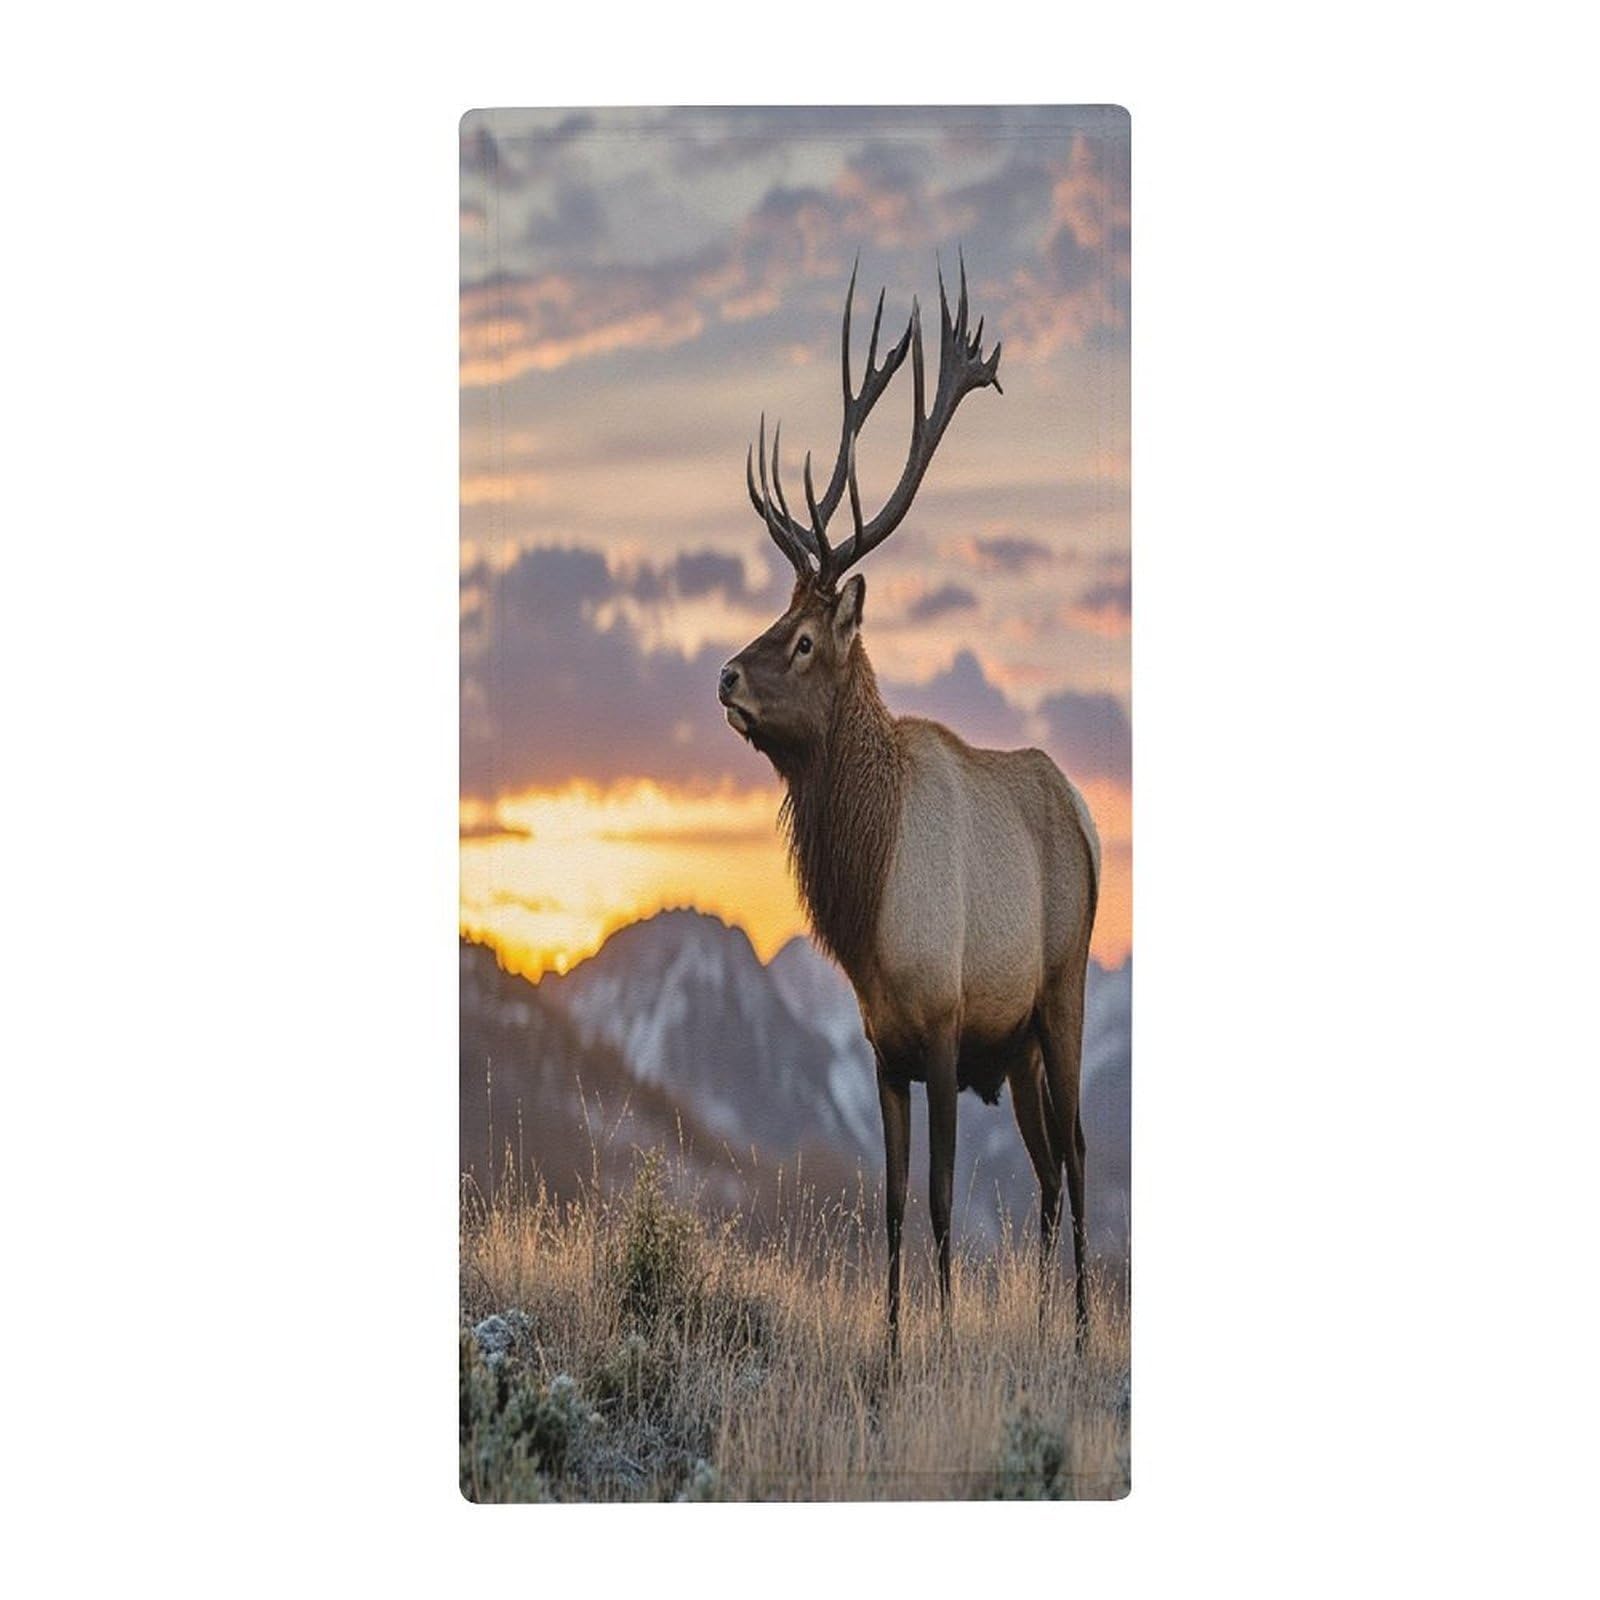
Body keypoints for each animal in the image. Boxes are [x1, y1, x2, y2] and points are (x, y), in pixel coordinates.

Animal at [717, 257, 1101, 1350]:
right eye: (775, 616)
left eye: (806, 639)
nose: (724, 676)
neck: (869, 905)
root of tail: (1088, 817)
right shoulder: (884, 1046)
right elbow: (887, 1202)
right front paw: (890, 1350)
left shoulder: (942, 1021)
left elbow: (936, 1200)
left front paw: (944, 1337)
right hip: (1019, 1043)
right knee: (1047, 1167)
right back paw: (1051, 1326)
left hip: (1061, 989)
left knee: (1081, 1154)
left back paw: (1079, 1331)